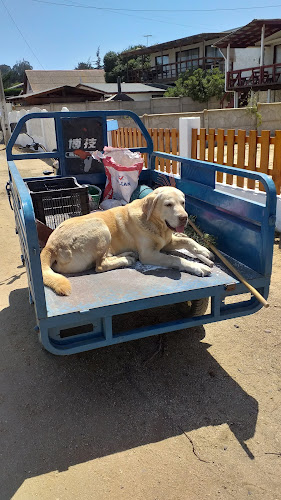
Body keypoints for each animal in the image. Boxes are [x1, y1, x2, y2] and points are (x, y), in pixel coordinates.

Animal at [40, 188, 213, 296]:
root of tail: (50, 246)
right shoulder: (148, 254)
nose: (184, 218)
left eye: (182, 202)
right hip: (100, 226)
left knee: (105, 259)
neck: (156, 224)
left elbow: (188, 240)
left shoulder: (167, 241)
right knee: (100, 265)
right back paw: (127, 259)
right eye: (168, 204)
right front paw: (197, 266)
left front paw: (204, 251)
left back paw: (128, 255)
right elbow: (175, 258)